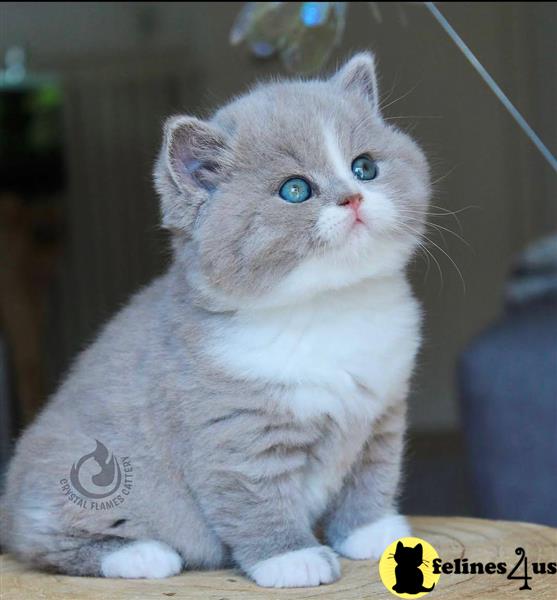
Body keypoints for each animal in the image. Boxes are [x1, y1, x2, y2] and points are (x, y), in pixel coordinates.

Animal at [0, 51, 430, 584]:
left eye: (365, 167)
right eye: (295, 190)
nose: (352, 197)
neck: (331, 308)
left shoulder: (382, 415)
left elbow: (371, 478)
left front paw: (371, 533)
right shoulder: (236, 433)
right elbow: (258, 501)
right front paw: (292, 559)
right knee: (40, 541)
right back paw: (143, 554)